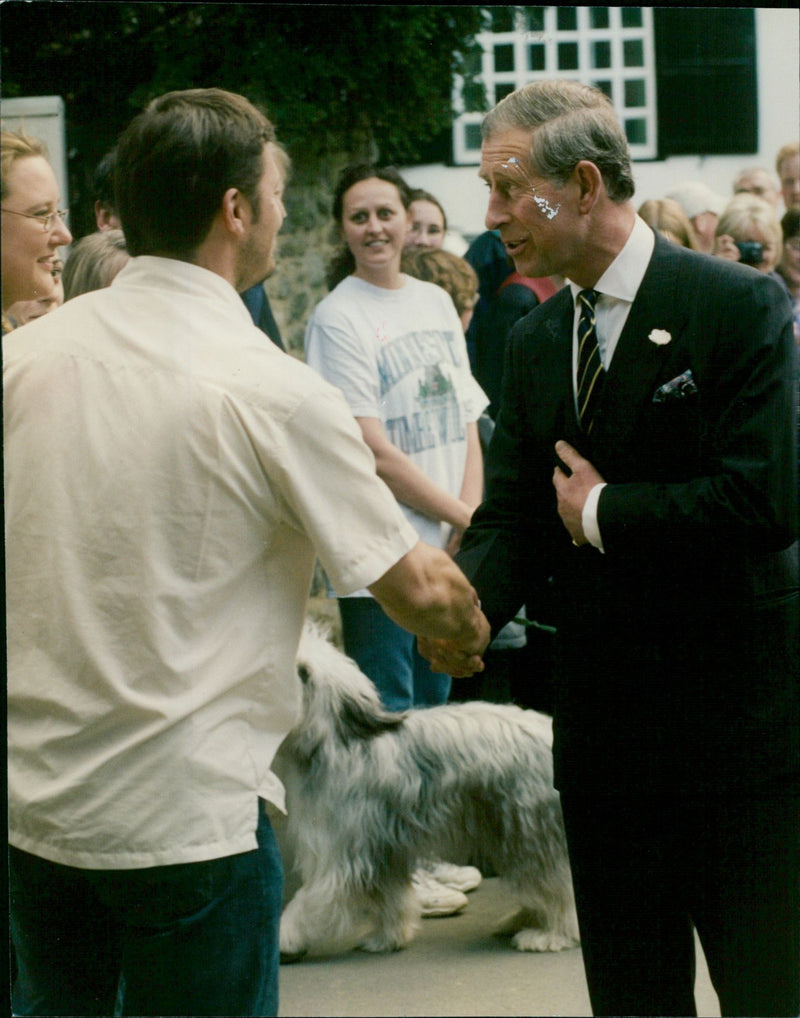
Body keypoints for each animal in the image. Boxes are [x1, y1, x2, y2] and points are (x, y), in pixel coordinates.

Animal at [270, 618, 578, 960]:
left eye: (304, 673)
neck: (337, 742)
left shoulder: (340, 854)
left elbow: (312, 899)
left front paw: (284, 937)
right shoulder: (381, 850)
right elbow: (390, 900)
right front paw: (388, 938)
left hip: (530, 834)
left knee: (557, 888)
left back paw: (549, 934)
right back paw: (521, 919)